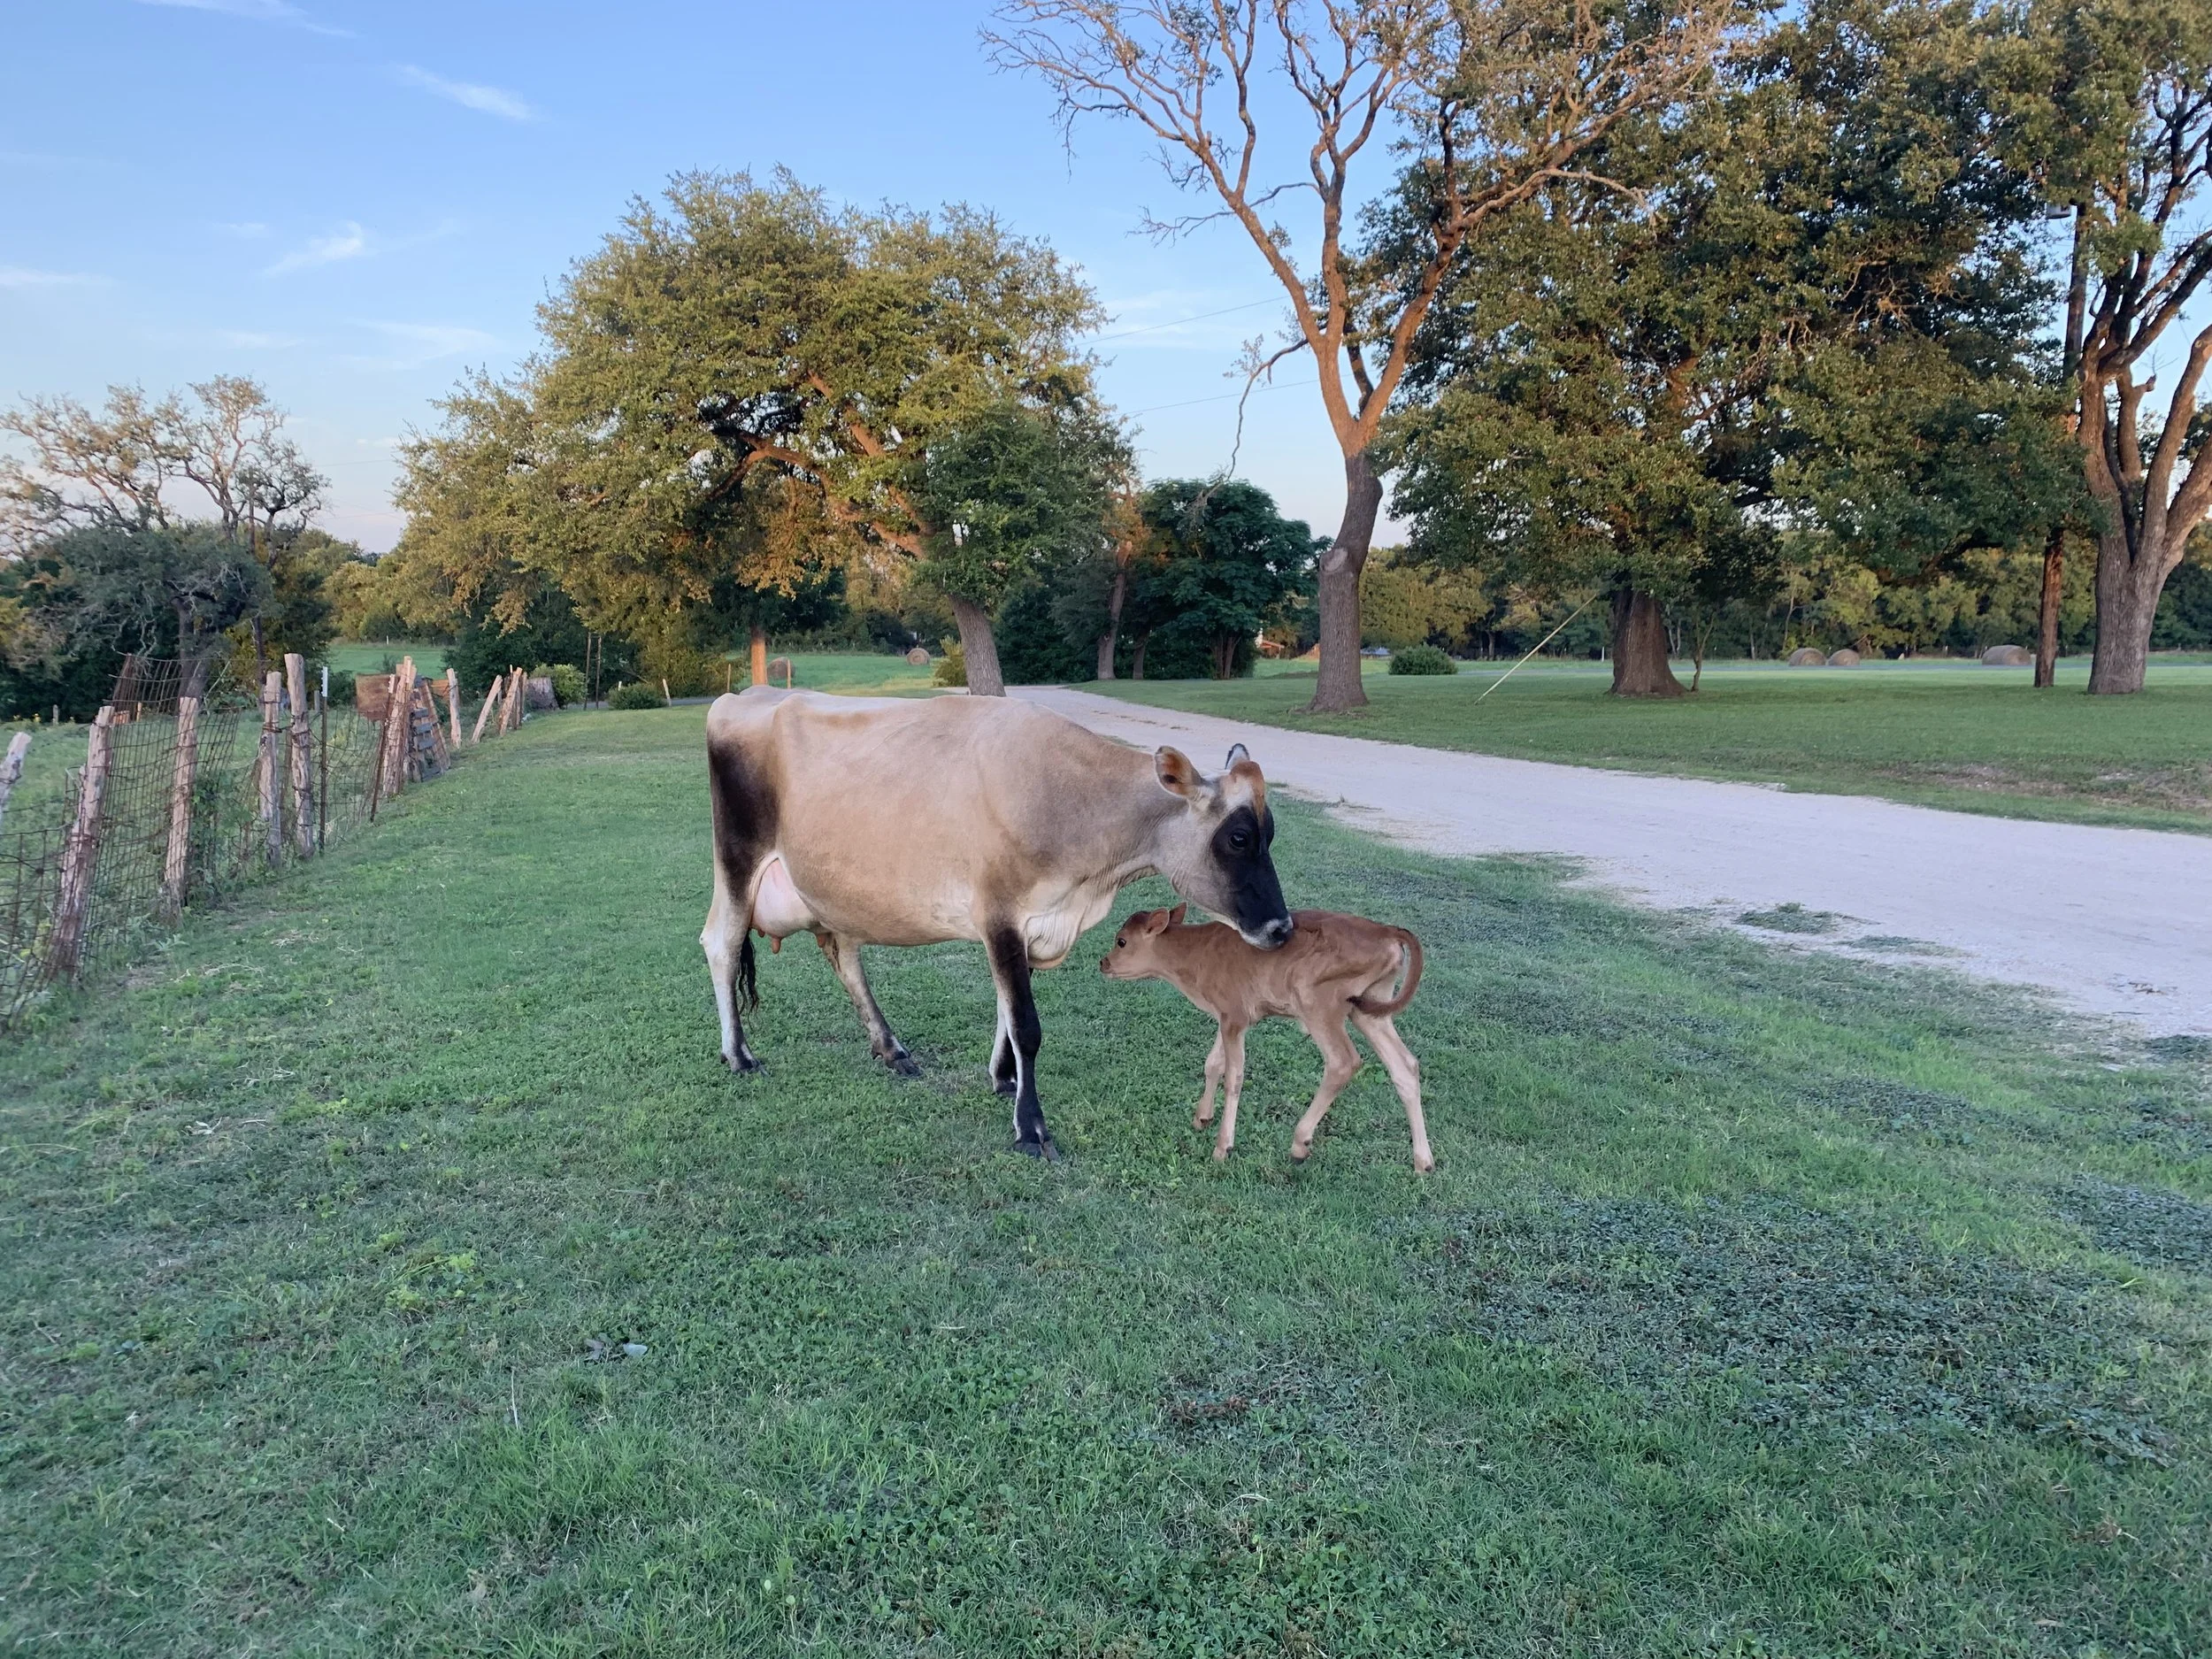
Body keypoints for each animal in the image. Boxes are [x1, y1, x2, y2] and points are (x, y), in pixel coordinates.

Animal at [701, 687, 1293, 1157]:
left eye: (1270, 833)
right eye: (1239, 837)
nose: (1281, 928)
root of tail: (743, 695)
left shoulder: (1033, 923)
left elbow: (1009, 1012)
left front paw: (1004, 1079)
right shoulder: (999, 914)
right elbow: (1025, 1023)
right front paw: (1031, 1127)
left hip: (831, 888)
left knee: (842, 954)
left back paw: (891, 1049)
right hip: (737, 859)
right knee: (721, 943)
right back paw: (739, 1055)